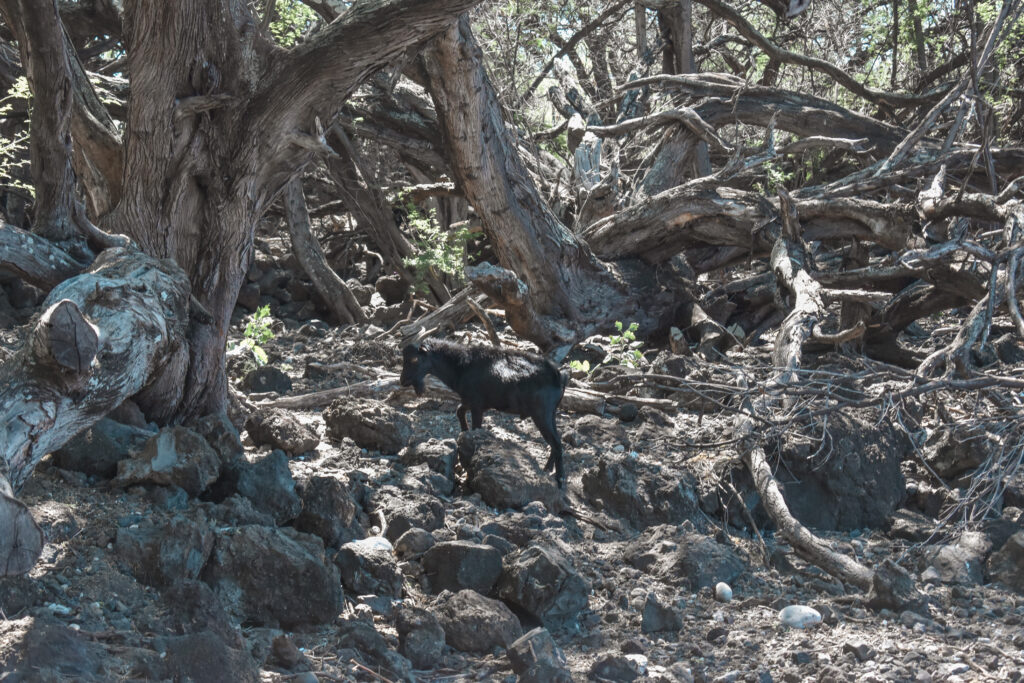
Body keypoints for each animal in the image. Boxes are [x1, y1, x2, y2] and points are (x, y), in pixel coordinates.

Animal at [399, 335, 573, 485]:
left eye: (414, 359)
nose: (402, 381)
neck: (461, 366)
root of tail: (559, 377)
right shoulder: (472, 401)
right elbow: (459, 411)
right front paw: (463, 432)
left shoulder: (477, 406)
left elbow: (475, 427)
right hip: (551, 414)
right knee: (555, 441)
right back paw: (547, 468)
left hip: (541, 414)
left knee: (556, 443)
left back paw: (560, 478)